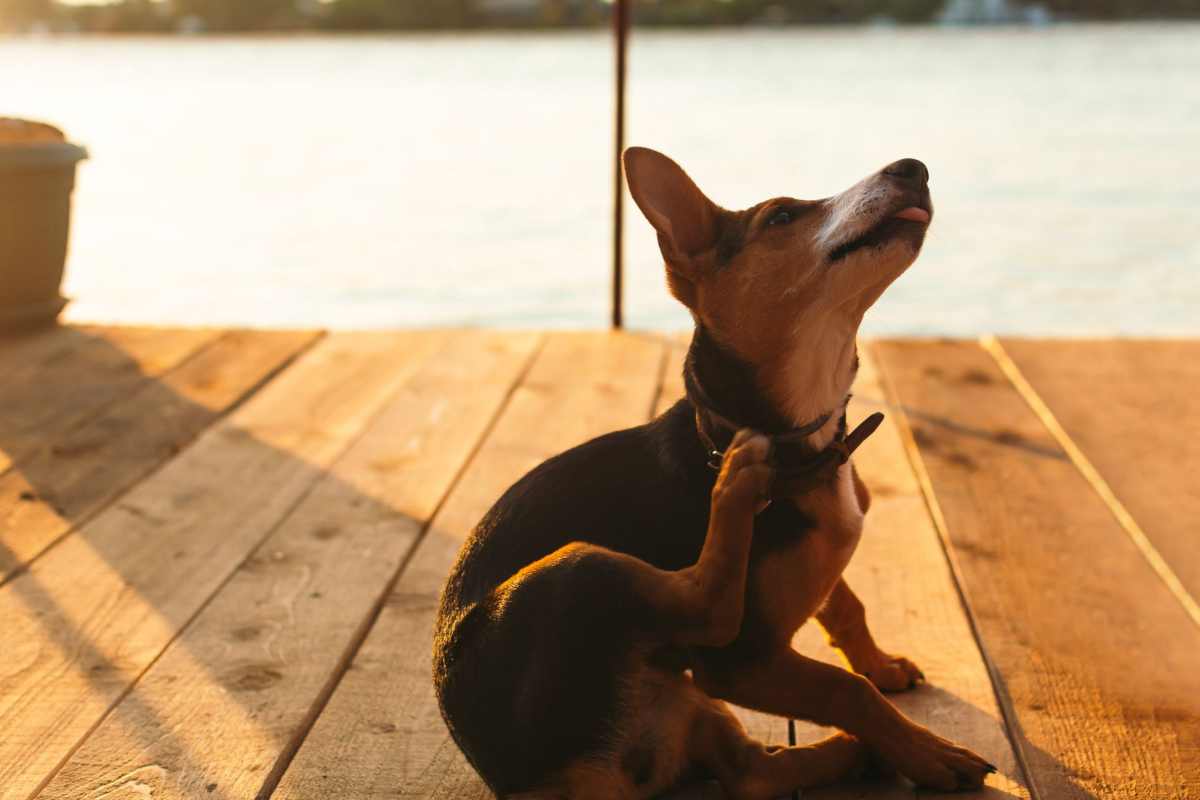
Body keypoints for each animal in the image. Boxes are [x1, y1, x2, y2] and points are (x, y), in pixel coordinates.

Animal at [432, 146, 993, 796]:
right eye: (781, 217)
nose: (913, 167)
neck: (800, 444)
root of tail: (538, 784)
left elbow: (846, 605)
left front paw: (883, 668)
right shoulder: (741, 664)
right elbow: (844, 688)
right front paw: (927, 751)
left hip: (692, 708)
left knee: (751, 772)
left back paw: (852, 754)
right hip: (577, 570)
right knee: (712, 607)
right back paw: (737, 487)